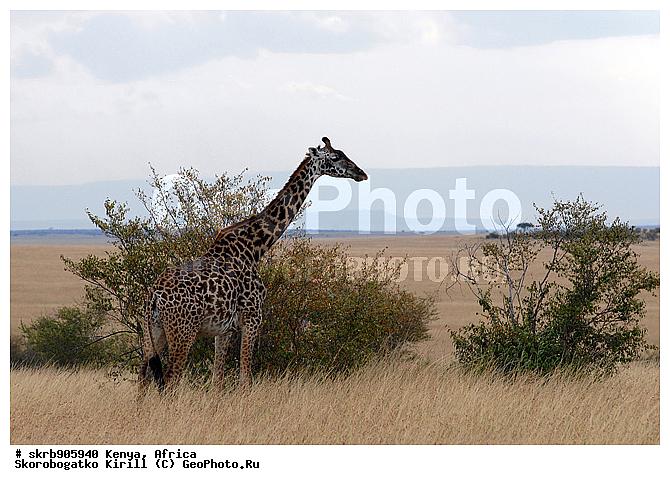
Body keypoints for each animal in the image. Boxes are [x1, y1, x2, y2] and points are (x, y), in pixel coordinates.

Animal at [138, 137, 367, 393]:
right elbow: (245, 378)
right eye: (335, 157)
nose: (361, 173)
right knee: (170, 380)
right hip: (183, 331)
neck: (255, 247)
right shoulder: (253, 316)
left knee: (143, 379)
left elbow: (217, 379)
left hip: (153, 331)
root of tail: (154, 295)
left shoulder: (224, 329)